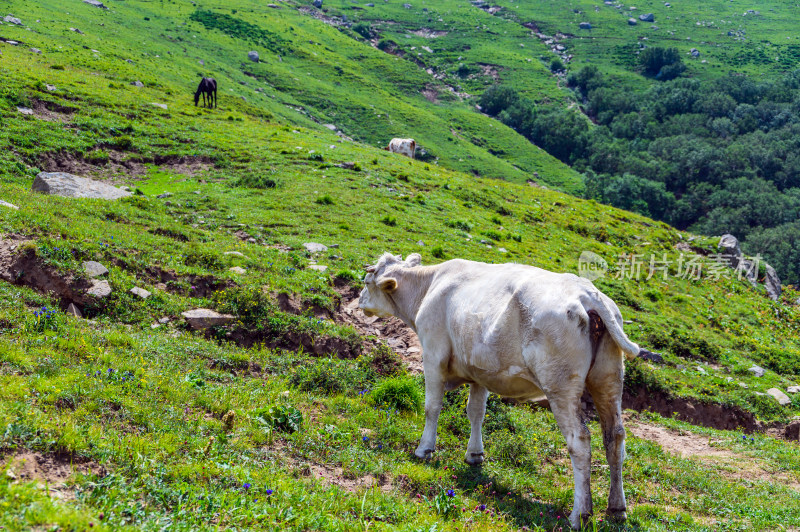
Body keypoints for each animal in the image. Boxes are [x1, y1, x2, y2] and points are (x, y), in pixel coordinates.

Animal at [362, 252, 644, 528]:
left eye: (367, 281)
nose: (359, 301)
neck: (428, 287)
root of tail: (587, 292)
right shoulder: (479, 370)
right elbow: (476, 412)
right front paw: (475, 455)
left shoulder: (433, 356)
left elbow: (432, 407)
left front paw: (424, 450)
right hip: (608, 378)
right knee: (615, 438)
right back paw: (616, 509)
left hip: (561, 386)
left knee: (580, 440)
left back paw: (580, 515)